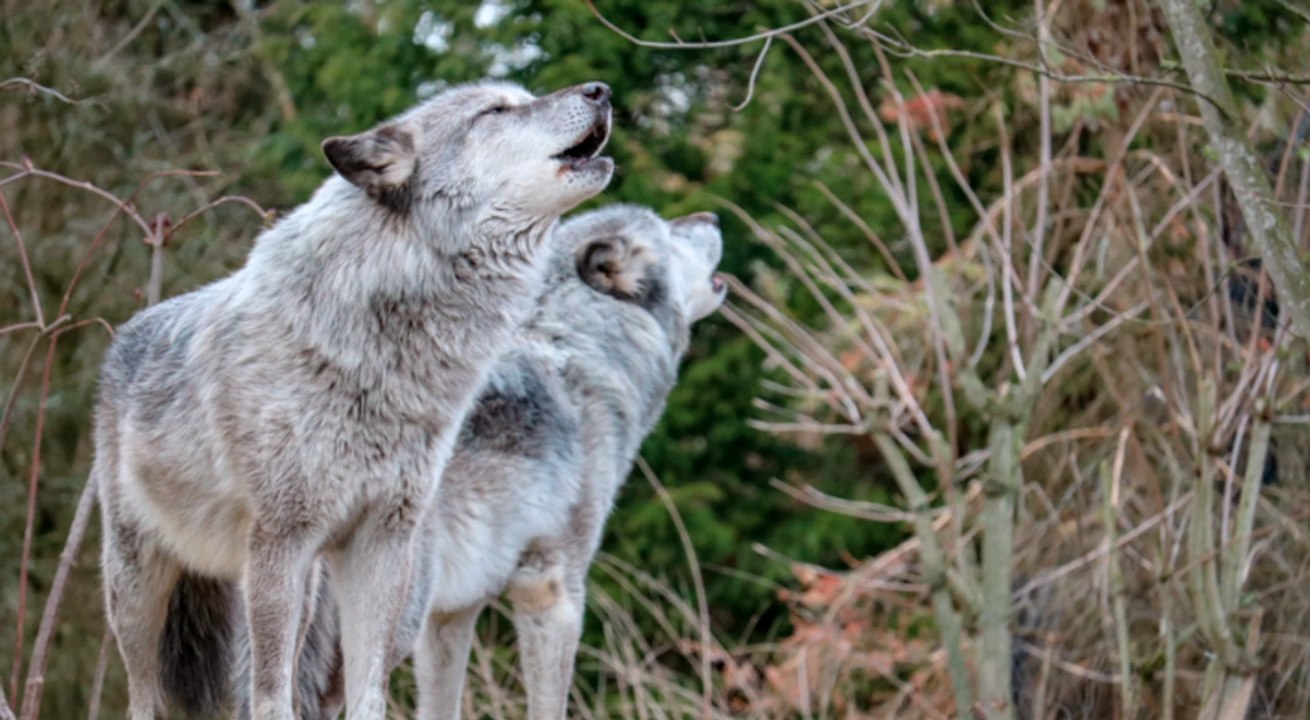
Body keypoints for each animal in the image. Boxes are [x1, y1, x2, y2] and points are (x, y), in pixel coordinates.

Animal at [93, 79, 614, 720]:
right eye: (494, 111)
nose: (600, 90)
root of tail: (128, 333)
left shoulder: (382, 542)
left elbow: (369, 692)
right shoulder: (281, 540)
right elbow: (271, 697)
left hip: (304, 587)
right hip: (141, 588)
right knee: (143, 696)